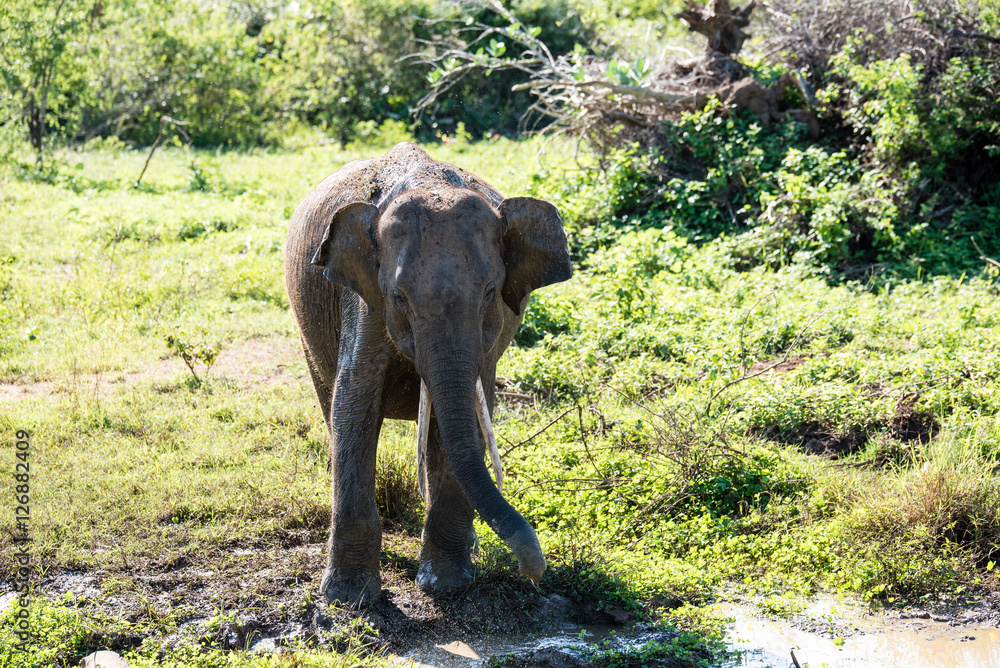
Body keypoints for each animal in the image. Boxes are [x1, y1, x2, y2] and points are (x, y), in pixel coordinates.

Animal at [284, 142, 572, 604]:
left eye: (491, 293)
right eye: (399, 298)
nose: (536, 574)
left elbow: (464, 419)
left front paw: (447, 585)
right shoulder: (364, 300)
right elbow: (353, 406)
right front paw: (349, 599)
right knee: (329, 402)